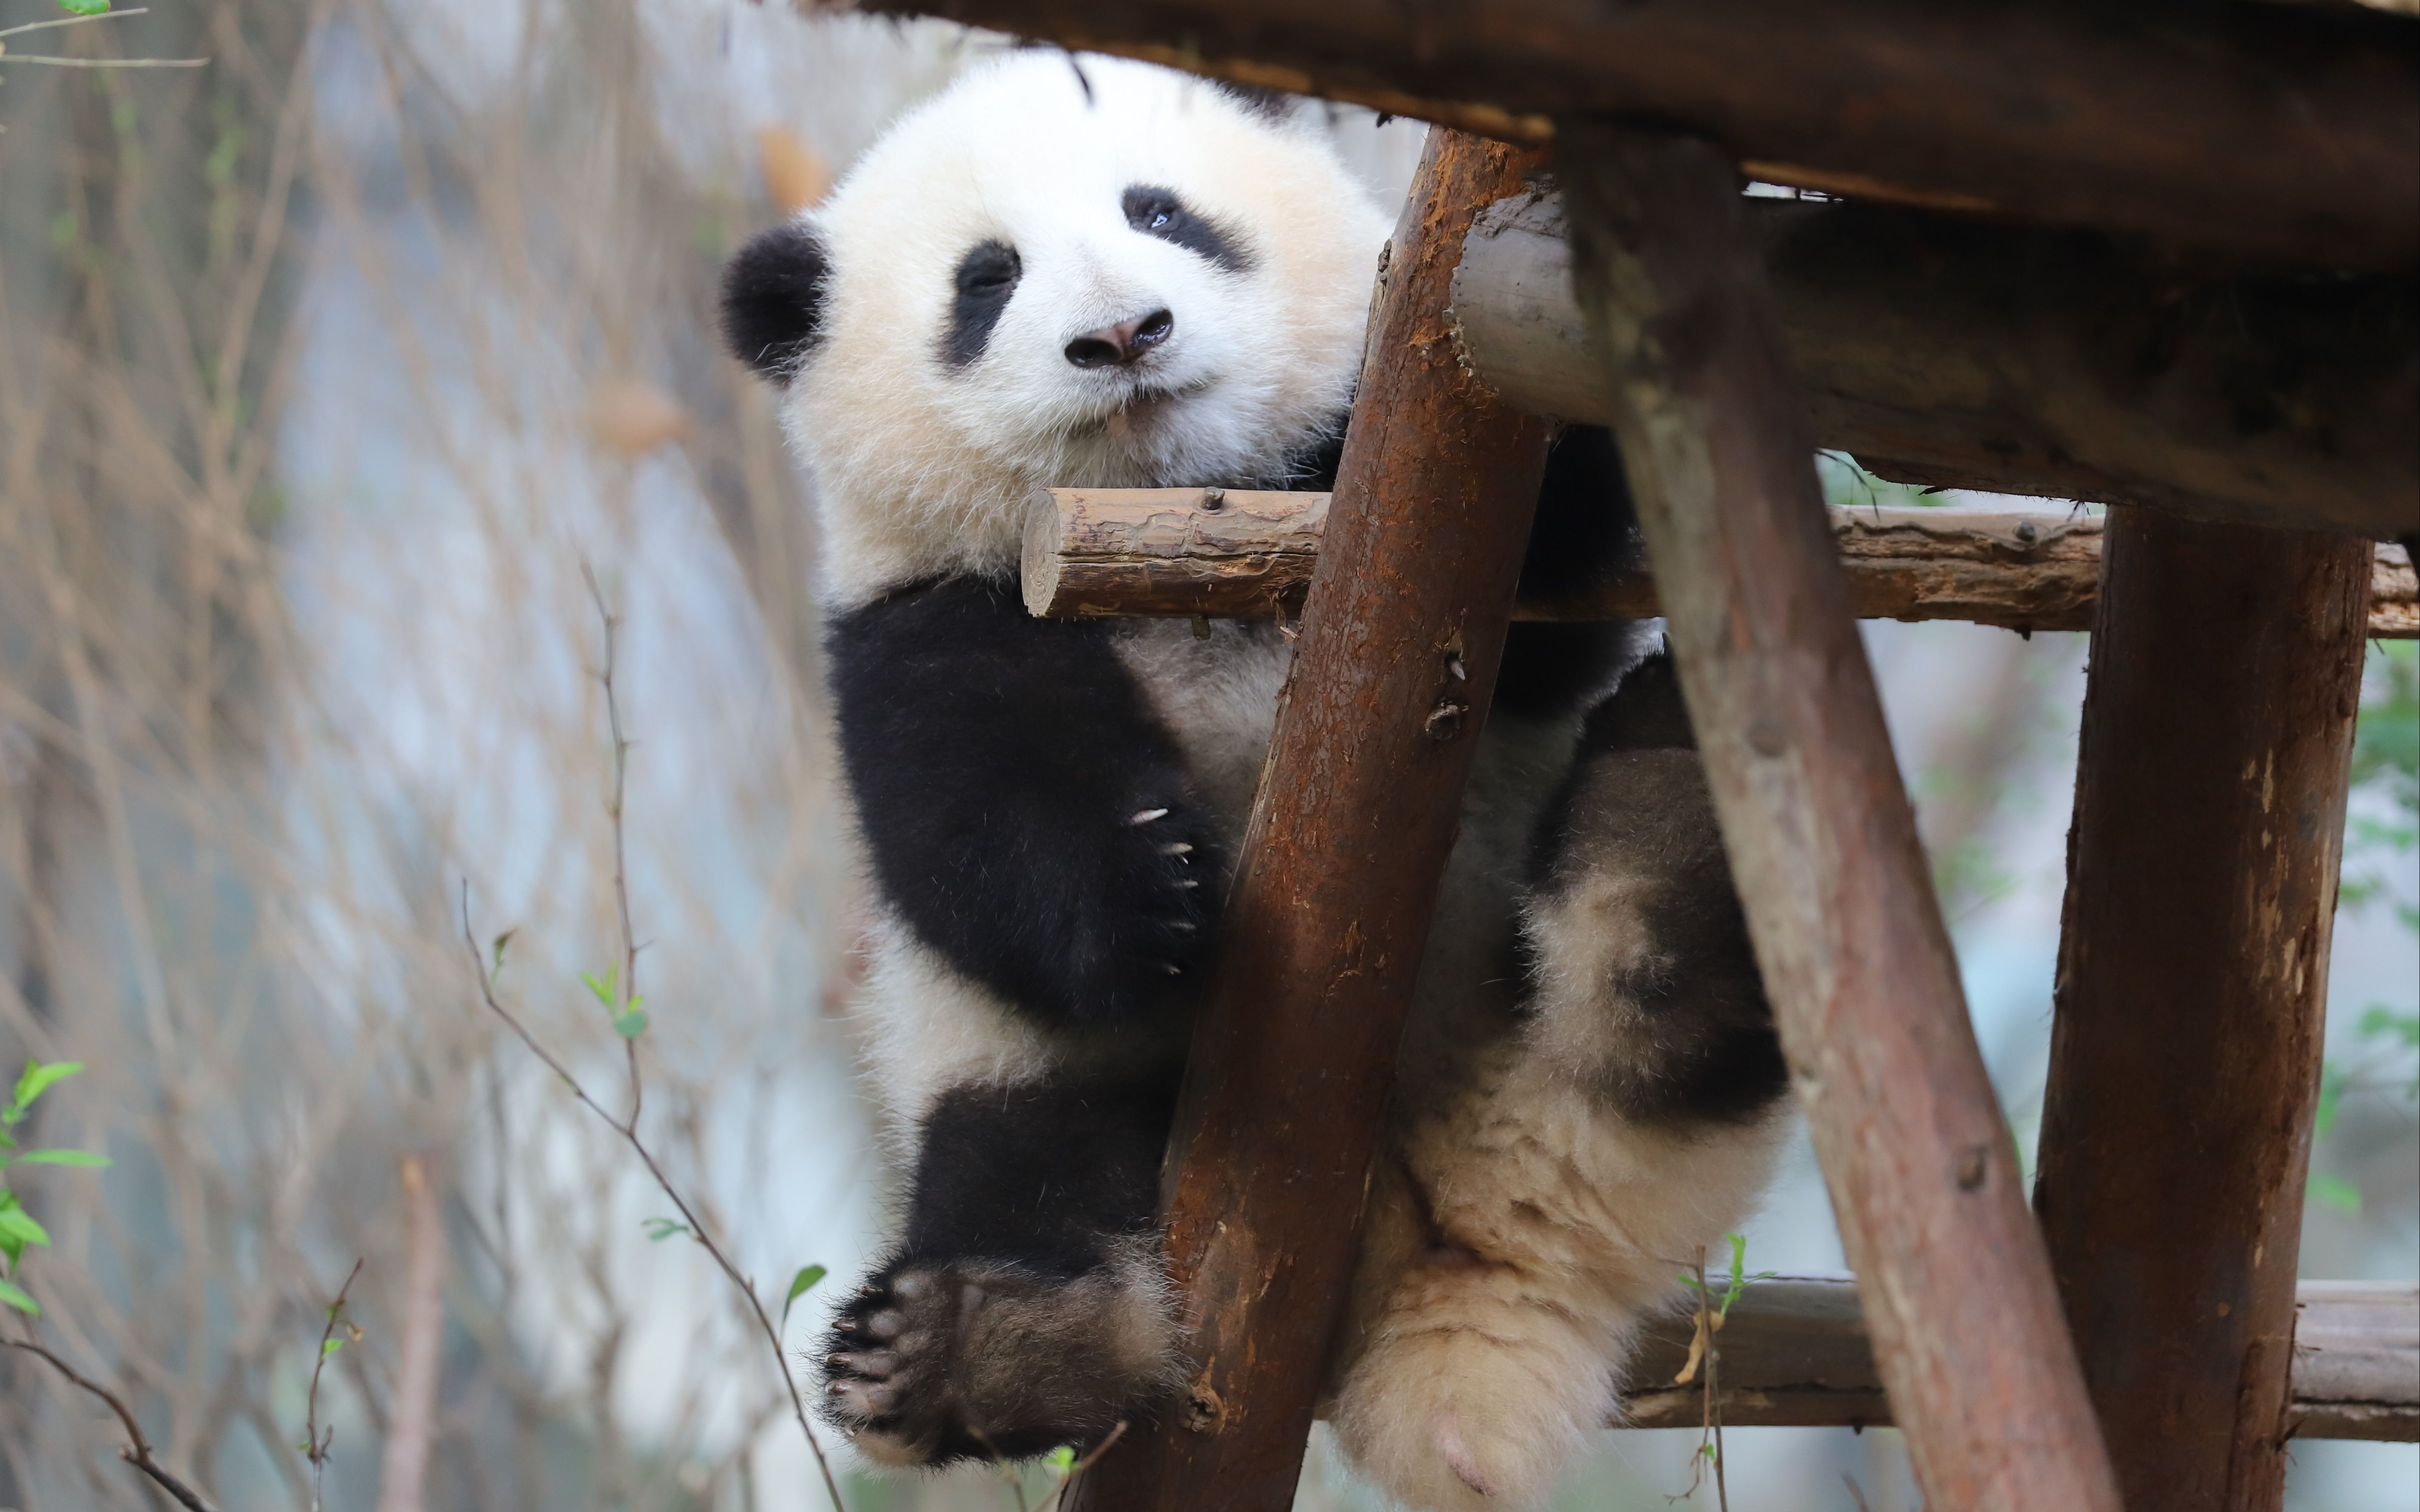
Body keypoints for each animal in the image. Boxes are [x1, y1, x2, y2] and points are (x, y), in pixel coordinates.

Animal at [716, 50, 1800, 1509]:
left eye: (1162, 212)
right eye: (985, 281)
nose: (1123, 334)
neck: (1189, 509)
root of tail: (1452, 1252)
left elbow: (1556, 591)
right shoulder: (931, 613)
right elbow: (964, 828)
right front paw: (1148, 891)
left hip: (1566, 1060)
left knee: (1648, 1010)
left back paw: (1667, 828)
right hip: (1024, 1084)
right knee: (1030, 1163)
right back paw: (972, 1344)